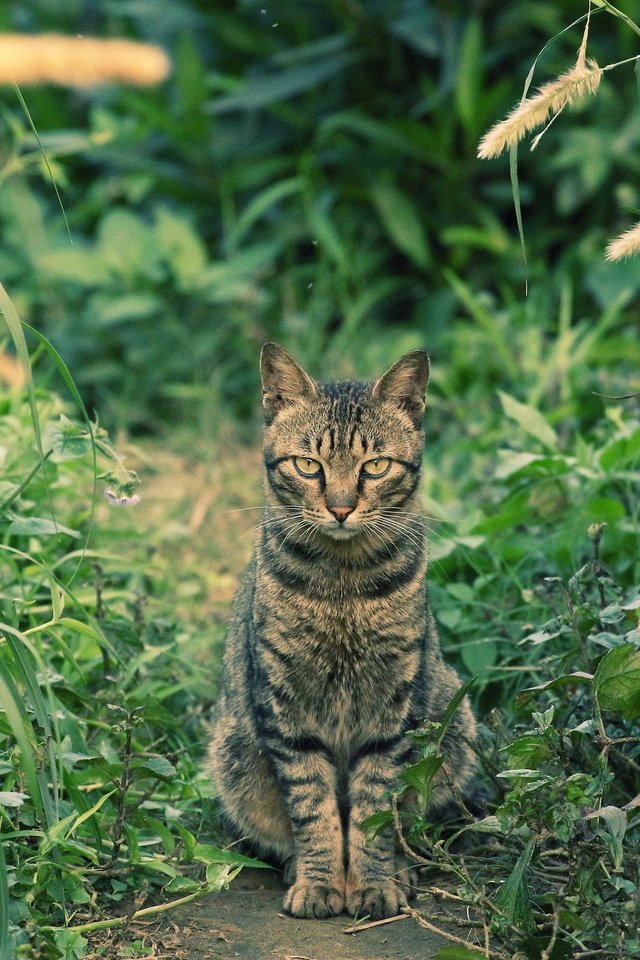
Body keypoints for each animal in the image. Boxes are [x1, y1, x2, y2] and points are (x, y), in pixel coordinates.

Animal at [208, 344, 478, 924]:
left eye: (374, 466)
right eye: (309, 465)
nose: (339, 507)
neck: (343, 587)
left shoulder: (393, 710)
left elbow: (374, 810)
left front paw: (373, 883)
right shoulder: (285, 708)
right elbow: (313, 809)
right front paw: (318, 882)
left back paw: (399, 869)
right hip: (234, 754)